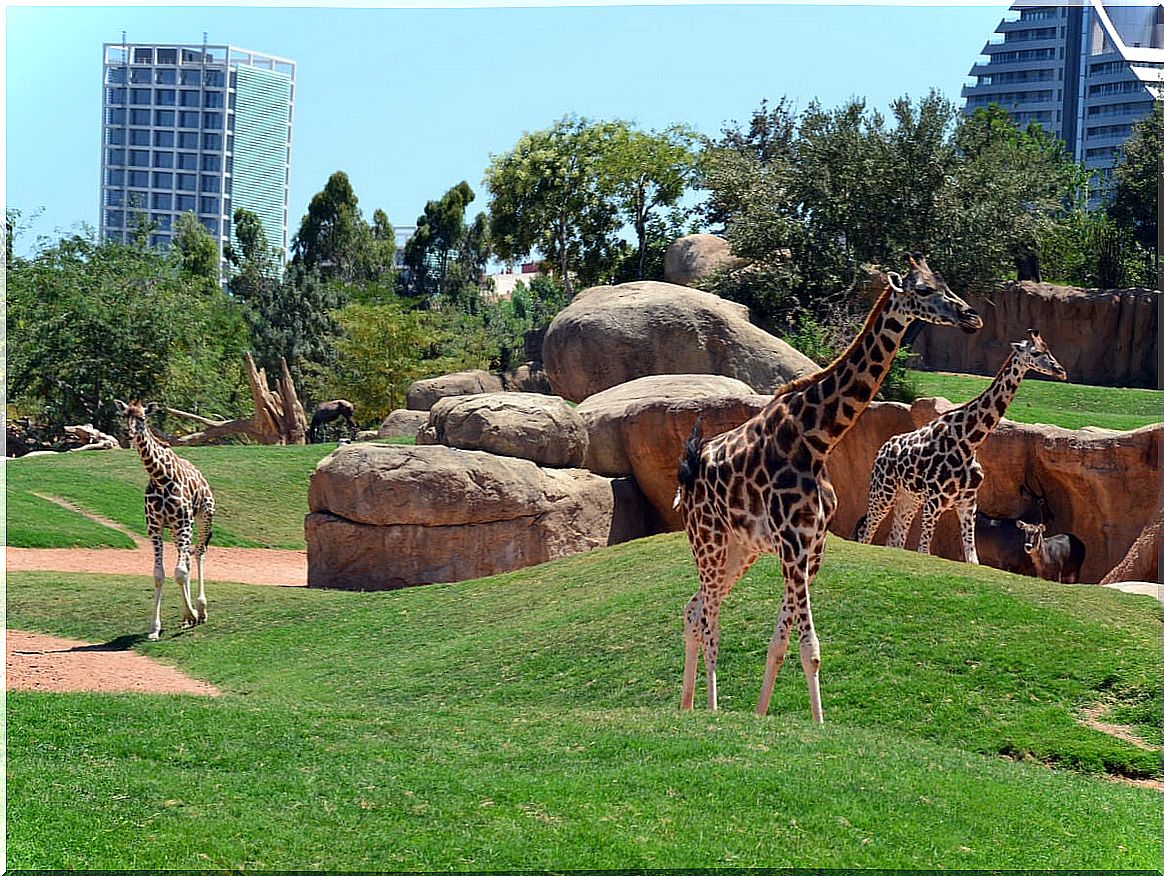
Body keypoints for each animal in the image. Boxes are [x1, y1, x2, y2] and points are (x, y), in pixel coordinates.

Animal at [113, 400, 216, 637]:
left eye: (142, 418)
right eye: (124, 415)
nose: (128, 433)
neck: (160, 477)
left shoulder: (184, 522)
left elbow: (179, 572)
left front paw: (192, 614)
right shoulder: (155, 526)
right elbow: (159, 574)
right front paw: (155, 628)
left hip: (203, 516)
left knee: (199, 553)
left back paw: (201, 610)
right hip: (176, 530)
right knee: (188, 559)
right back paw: (188, 617)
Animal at [675, 251, 982, 716]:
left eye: (946, 284)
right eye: (925, 289)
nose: (971, 317)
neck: (817, 438)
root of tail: (687, 472)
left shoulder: (812, 546)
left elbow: (781, 643)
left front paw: (762, 715)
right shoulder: (792, 543)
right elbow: (810, 648)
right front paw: (817, 724)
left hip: (741, 550)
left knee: (693, 610)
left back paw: (688, 706)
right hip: (708, 539)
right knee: (710, 621)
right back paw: (709, 710)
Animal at [856, 328, 1066, 560]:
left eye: (1049, 350)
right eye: (1036, 352)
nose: (1061, 371)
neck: (969, 441)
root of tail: (881, 452)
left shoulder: (968, 503)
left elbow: (972, 558)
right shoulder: (934, 501)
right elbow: (924, 550)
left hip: (908, 499)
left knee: (894, 540)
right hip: (883, 491)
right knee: (866, 532)